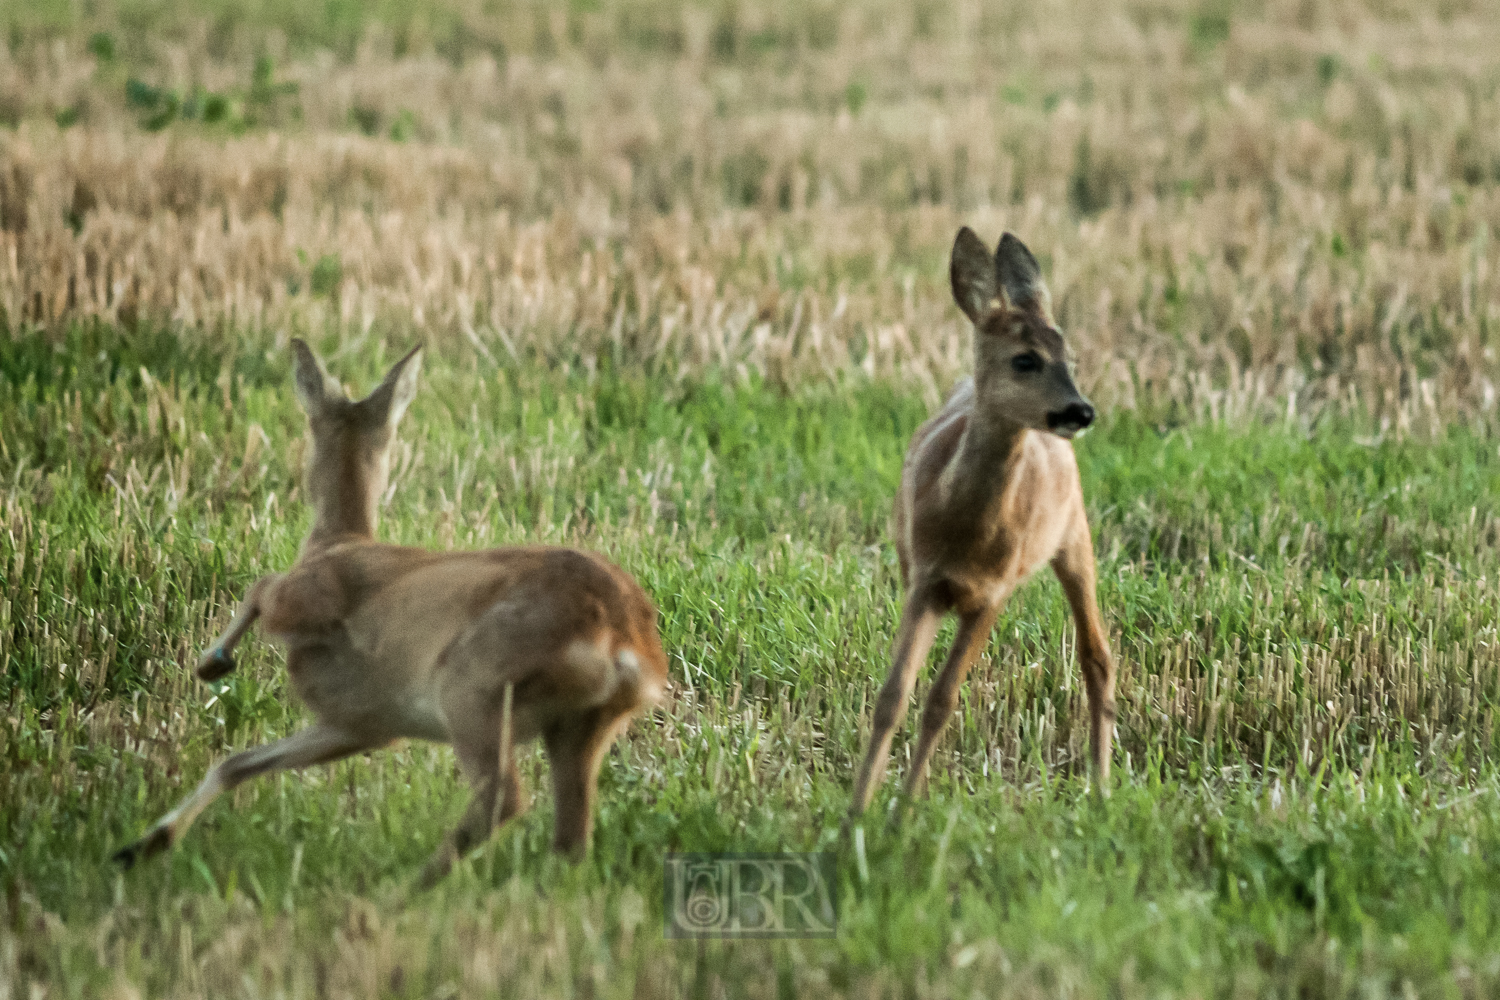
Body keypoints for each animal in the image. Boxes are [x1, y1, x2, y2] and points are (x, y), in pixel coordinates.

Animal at [120, 341, 672, 881]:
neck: (339, 541)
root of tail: (625, 643)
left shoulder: (307, 601)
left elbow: (261, 586)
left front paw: (211, 663)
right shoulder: (362, 722)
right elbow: (237, 764)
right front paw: (143, 845)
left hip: (474, 689)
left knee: (505, 798)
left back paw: (402, 890)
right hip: (582, 725)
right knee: (571, 836)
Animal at [858, 226, 1116, 815]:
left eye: (1071, 356)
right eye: (1025, 360)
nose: (1081, 410)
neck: (965, 531)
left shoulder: (996, 590)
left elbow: (941, 699)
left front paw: (901, 812)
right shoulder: (924, 579)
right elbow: (893, 696)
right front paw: (858, 810)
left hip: (1074, 535)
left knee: (1097, 655)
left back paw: (1101, 787)